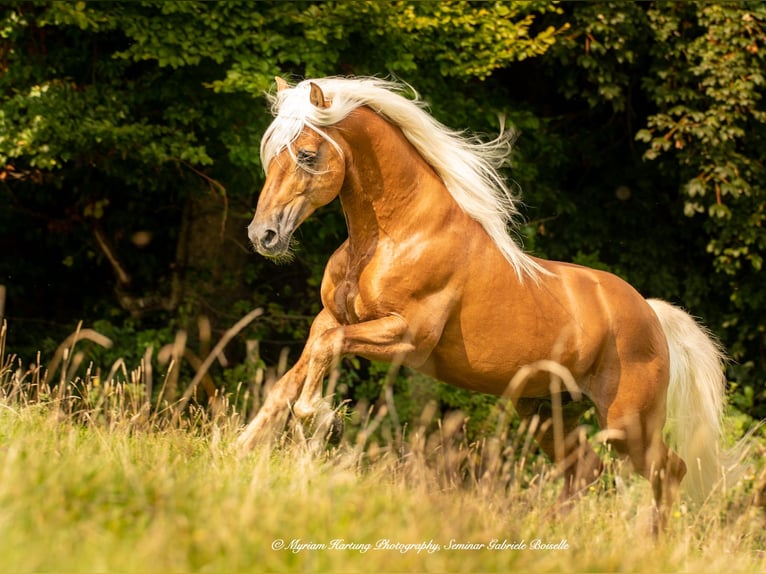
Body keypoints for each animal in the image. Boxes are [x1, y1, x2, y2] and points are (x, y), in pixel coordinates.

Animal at [238, 76, 730, 528]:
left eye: (306, 154)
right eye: (271, 152)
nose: (264, 235)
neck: (398, 235)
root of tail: (651, 312)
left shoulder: (406, 337)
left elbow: (324, 356)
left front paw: (321, 421)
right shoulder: (330, 318)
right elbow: (294, 374)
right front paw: (242, 448)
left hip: (627, 422)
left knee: (669, 471)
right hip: (547, 413)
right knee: (585, 469)